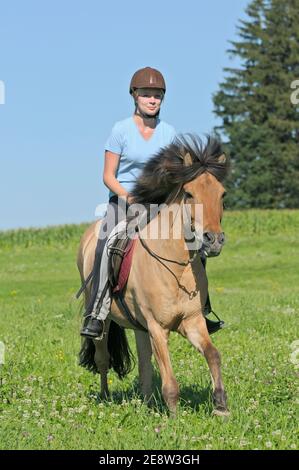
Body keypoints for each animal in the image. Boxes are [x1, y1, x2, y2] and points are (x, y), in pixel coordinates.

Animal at [77, 134, 230, 416]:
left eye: (222, 193)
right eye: (189, 194)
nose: (213, 240)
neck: (177, 268)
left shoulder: (193, 322)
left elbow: (213, 355)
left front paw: (221, 406)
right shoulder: (158, 328)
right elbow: (170, 380)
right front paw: (174, 417)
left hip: (139, 325)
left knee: (144, 363)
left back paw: (146, 403)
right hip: (104, 320)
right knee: (102, 358)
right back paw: (105, 397)